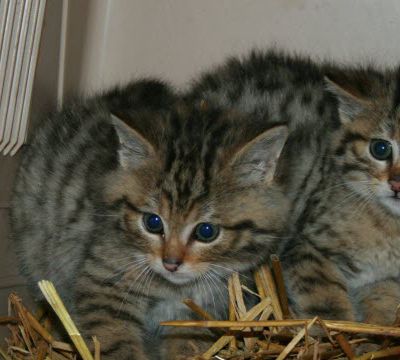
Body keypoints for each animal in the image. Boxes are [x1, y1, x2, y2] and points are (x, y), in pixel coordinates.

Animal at [10, 79, 290, 360]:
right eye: (152, 222)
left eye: (206, 231)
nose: (171, 263)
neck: (171, 288)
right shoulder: (102, 282)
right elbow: (114, 339)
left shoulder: (201, 307)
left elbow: (188, 342)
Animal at [188, 51, 400, 326]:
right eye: (380, 148)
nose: (396, 184)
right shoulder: (305, 247)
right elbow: (324, 299)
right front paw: (331, 328)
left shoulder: (387, 277)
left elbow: (385, 302)